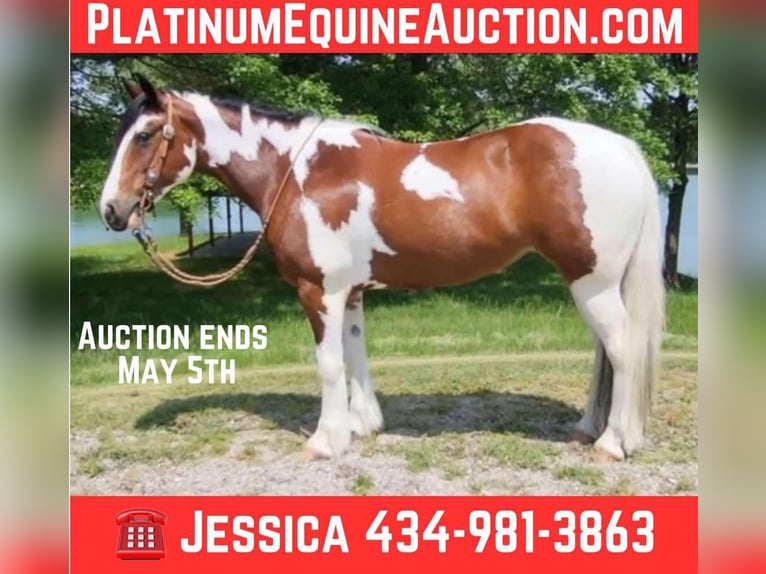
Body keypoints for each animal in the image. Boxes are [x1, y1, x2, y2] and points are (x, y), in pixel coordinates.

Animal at [99, 75, 664, 462]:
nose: (111, 210)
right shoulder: (348, 292)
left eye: (146, 135)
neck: (299, 173)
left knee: (622, 351)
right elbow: (355, 355)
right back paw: (589, 429)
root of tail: (623, 149)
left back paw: (614, 443)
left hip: (591, 283)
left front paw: (325, 441)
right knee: (605, 355)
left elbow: (329, 364)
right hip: (596, 284)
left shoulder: (317, 291)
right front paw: (361, 425)